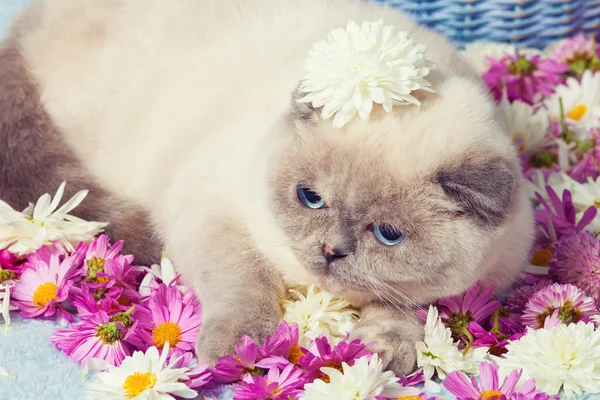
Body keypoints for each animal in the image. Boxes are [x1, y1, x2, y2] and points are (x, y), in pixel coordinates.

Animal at [1, 0, 536, 376]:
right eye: (310, 198)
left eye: (389, 235)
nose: (330, 251)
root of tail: (31, 16)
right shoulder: (211, 205)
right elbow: (247, 279)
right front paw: (238, 350)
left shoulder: (472, 284)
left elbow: (410, 305)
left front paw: (379, 352)